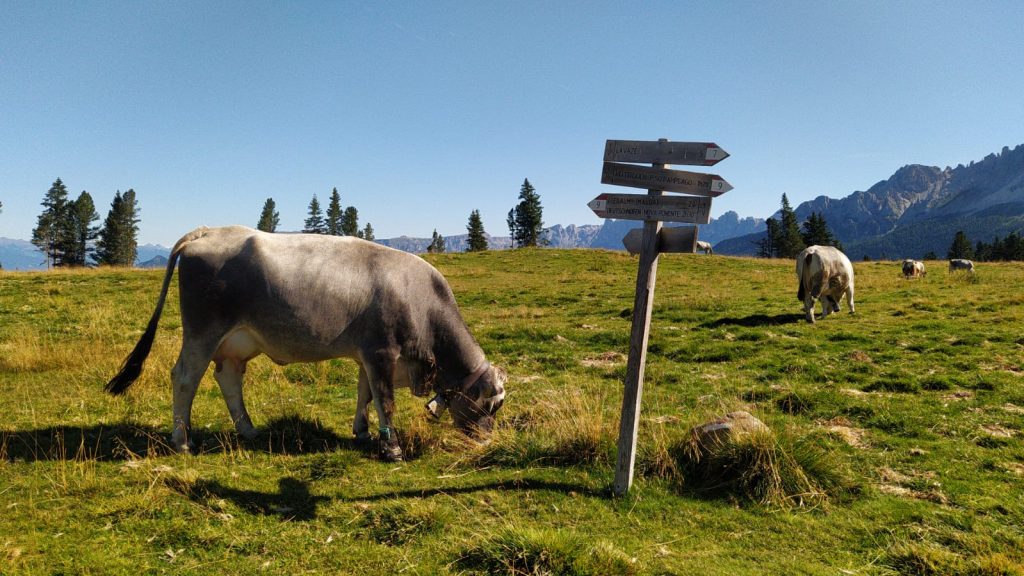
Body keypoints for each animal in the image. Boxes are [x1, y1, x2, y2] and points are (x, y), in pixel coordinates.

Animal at [105, 223, 505, 457]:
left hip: (237, 341)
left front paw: (362, 432)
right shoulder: (381, 352)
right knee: (186, 377)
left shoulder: (366, 355)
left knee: (228, 378)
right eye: (493, 405)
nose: (487, 440)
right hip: (203, 332)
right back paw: (183, 440)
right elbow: (385, 401)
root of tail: (207, 231)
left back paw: (248, 429)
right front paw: (390, 447)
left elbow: (365, 394)